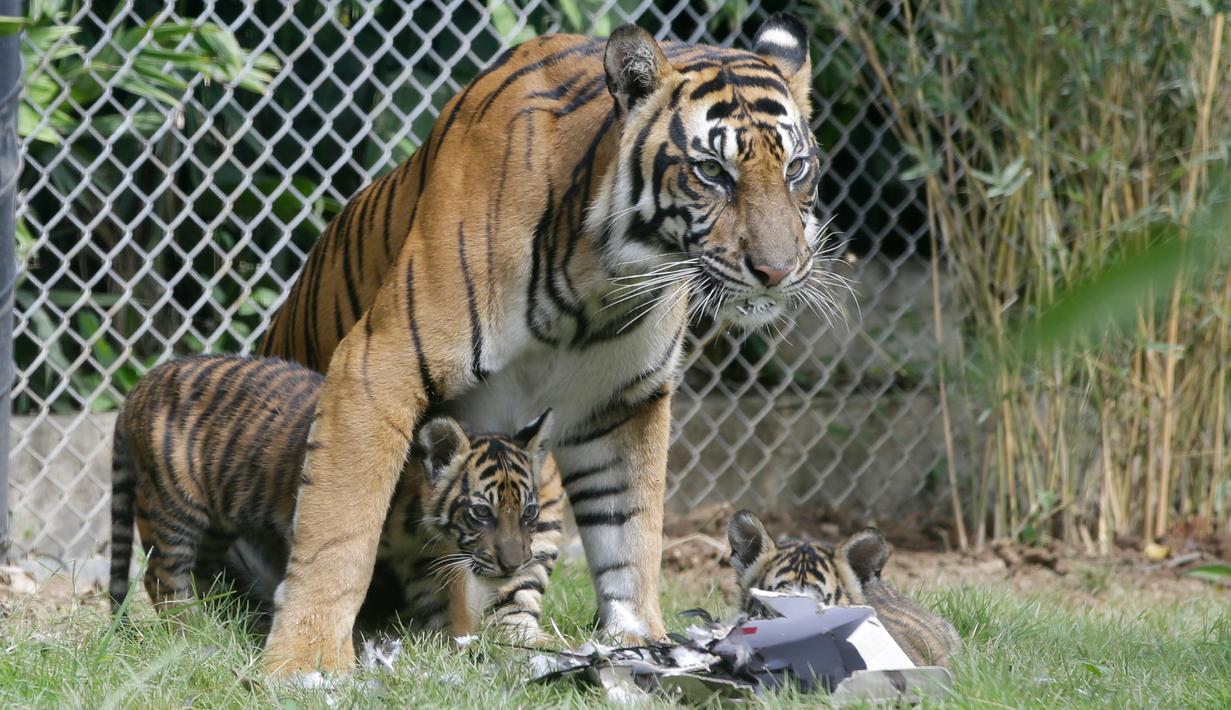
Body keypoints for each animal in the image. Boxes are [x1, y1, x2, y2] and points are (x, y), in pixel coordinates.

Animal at [260, 13, 832, 674]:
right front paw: (308, 661)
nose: (778, 270)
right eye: (712, 171)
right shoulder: (378, 366)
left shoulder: (623, 402)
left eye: (795, 169)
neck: (601, 284)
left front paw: (641, 642)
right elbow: (340, 524)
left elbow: (631, 534)